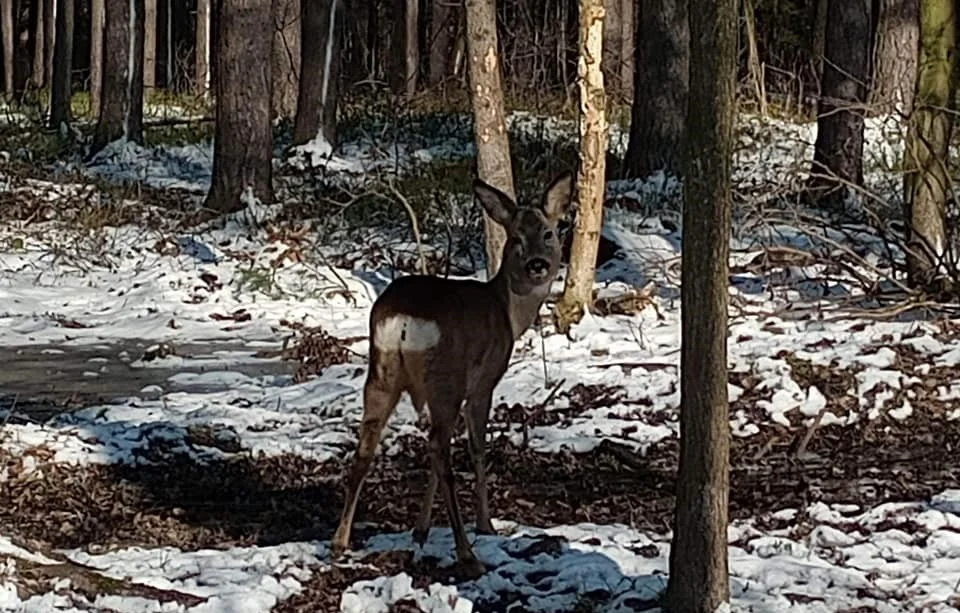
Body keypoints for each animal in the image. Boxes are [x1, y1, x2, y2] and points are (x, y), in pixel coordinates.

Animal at [332, 171, 568, 572]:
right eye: (516, 238)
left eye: (549, 233)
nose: (537, 264)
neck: (507, 312)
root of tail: (403, 320)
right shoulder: (483, 382)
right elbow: (477, 446)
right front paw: (486, 524)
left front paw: (420, 529)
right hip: (446, 376)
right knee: (439, 448)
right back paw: (467, 553)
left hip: (381, 373)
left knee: (368, 448)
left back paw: (340, 541)